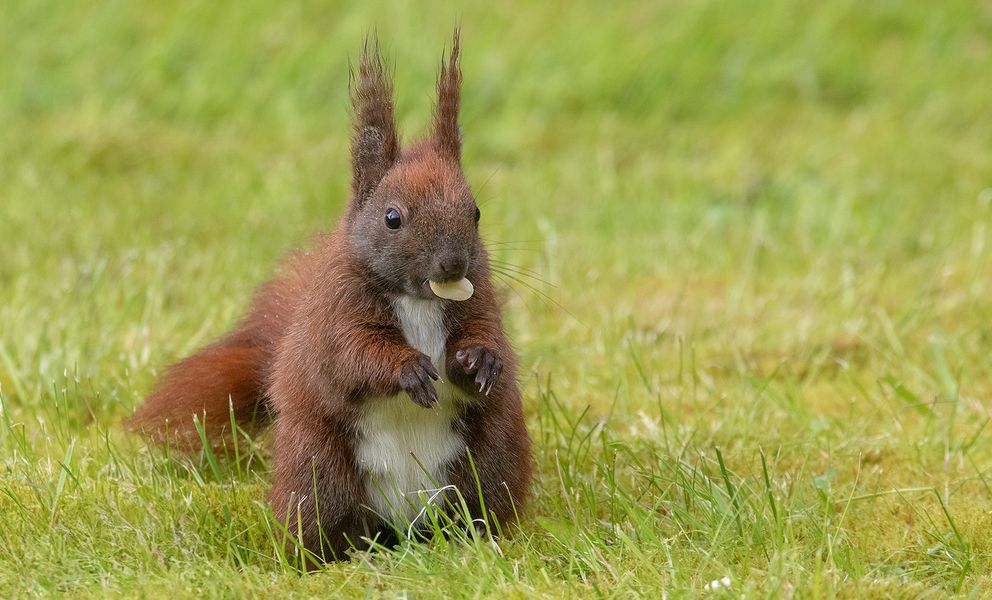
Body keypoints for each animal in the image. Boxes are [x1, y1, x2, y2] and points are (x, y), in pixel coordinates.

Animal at [134, 32, 536, 564]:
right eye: (392, 217)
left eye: (474, 213)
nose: (452, 265)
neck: (419, 301)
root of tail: (407, 528)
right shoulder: (335, 313)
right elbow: (350, 356)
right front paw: (408, 368)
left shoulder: (480, 298)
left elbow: (483, 335)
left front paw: (482, 361)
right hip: (320, 472)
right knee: (327, 522)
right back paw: (326, 559)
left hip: (489, 461)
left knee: (476, 505)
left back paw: (477, 539)